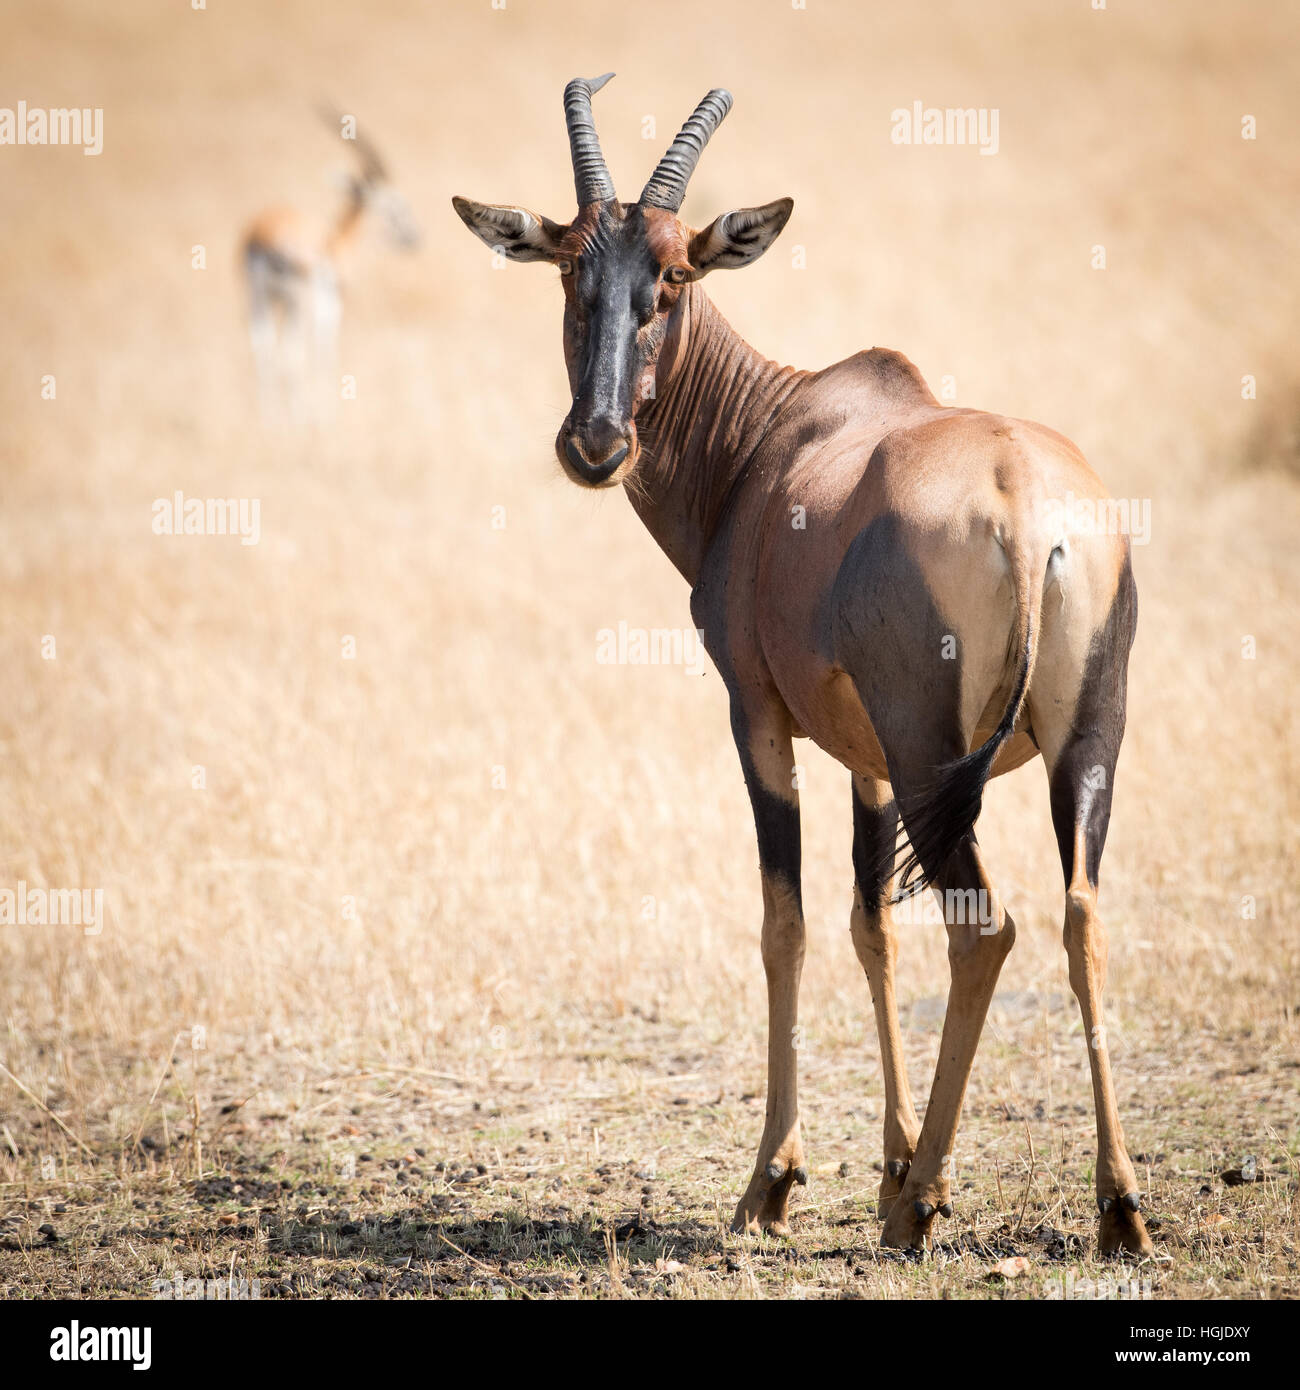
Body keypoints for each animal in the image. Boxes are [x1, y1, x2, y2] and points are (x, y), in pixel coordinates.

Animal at [244, 110, 422, 417]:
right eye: (396, 206)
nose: (414, 238)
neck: (336, 240)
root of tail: (263, 237)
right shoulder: (330, 300)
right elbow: (324, 346)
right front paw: (326, 411)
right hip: (296, 300)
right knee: (294, 349)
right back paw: (299, 414)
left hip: (259, 295)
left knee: (262, 343)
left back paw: (271, 416)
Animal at [453, 78, 1151, 1262]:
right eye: (566, 269)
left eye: (674, 274)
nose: (594, 444)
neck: (773, 434)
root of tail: (1025, 510)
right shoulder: (866, 759)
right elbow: (873, 926)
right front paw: (886, 1162)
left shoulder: (761, 718)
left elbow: (786, 921)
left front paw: (775, 1184)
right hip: (1080, 745)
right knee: (1080, 918)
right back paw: (1117, 1207)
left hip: (933, 757)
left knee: (987, 928)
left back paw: (924, 1208)